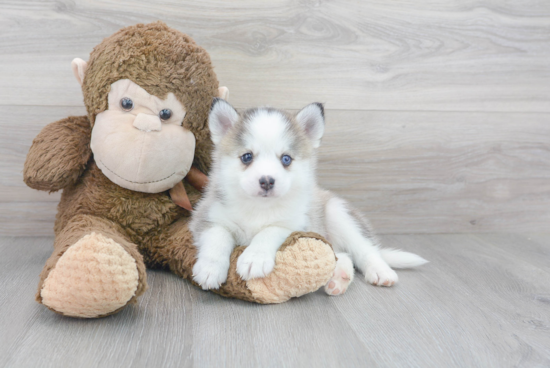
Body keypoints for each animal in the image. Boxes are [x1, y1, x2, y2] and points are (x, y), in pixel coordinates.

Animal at [192, 99, 430, 294]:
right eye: (247, 157)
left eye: (286, 159)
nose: (267, 181)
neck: (259, 208)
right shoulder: (207, 217)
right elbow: (217, 237)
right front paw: (209, 268)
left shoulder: (296, 224)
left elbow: (270, 230)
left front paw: (254, 258)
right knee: (342, 255)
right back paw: (338, 278)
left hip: (337, 213)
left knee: (365, 250)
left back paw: (380, 272)